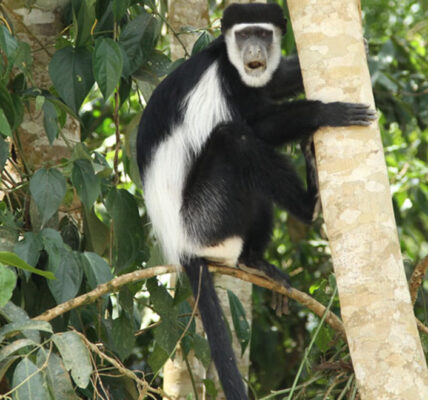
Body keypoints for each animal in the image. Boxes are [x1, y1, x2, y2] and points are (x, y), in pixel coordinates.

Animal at [137, 3, 374, 400]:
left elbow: (273, 82)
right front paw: (325, 112)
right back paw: (308, 206)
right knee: (236, 139)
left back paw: (256, 261)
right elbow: (256, 125)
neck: (228, 62)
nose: (254, 51)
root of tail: (181, 245)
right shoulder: (228, 84)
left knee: (258, 192)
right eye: (245, 34)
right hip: (206, 217)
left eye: (263, 34)